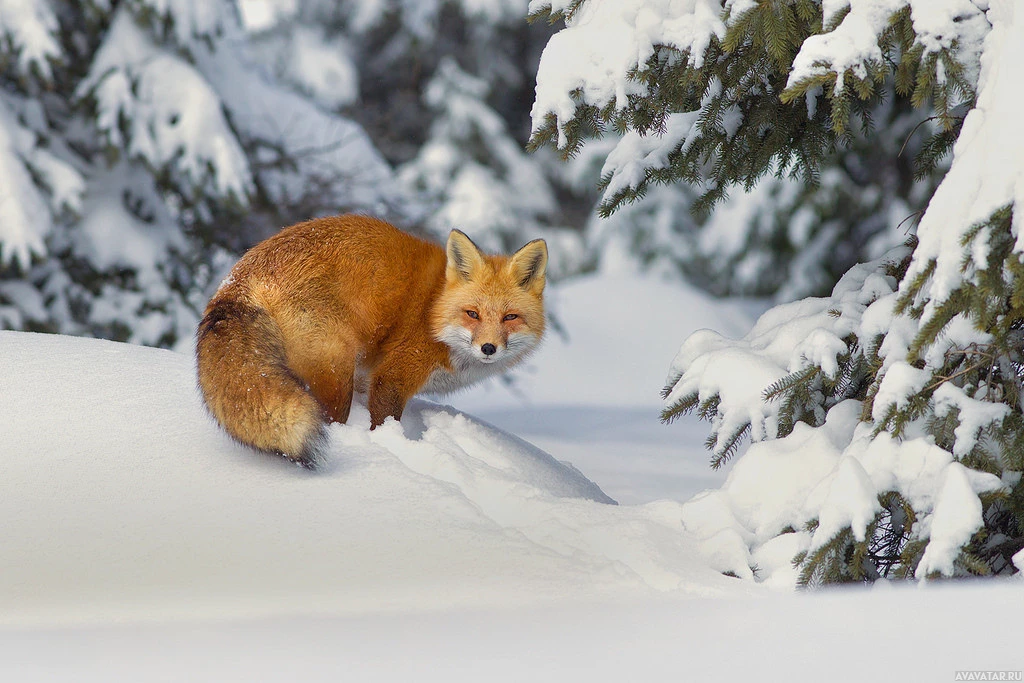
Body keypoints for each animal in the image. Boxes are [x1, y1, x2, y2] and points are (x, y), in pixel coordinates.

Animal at [192, 215, 544, 471]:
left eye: (510, 317)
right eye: (472, 313)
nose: (488, 349)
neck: (433, 310)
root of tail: (238, 276)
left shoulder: (367, 378)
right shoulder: (392, 376)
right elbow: (383, 422)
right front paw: (394, 447)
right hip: (335, 372)